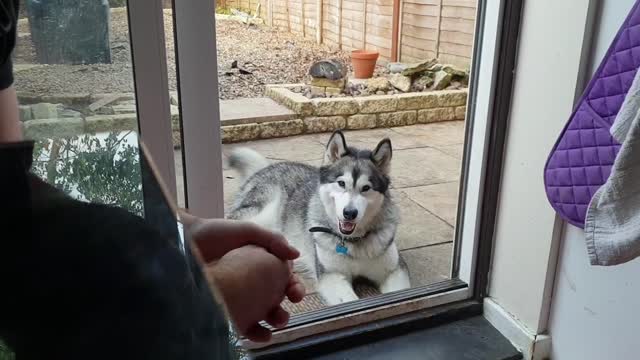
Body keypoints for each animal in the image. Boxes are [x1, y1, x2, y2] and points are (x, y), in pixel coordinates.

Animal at [228, 131, 412, 306]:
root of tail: (268, 167)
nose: (349, 213)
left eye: (366, 188)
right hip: (262, 215)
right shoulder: (332, 276)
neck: (352, 243)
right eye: (341, 183)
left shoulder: (395, 271)